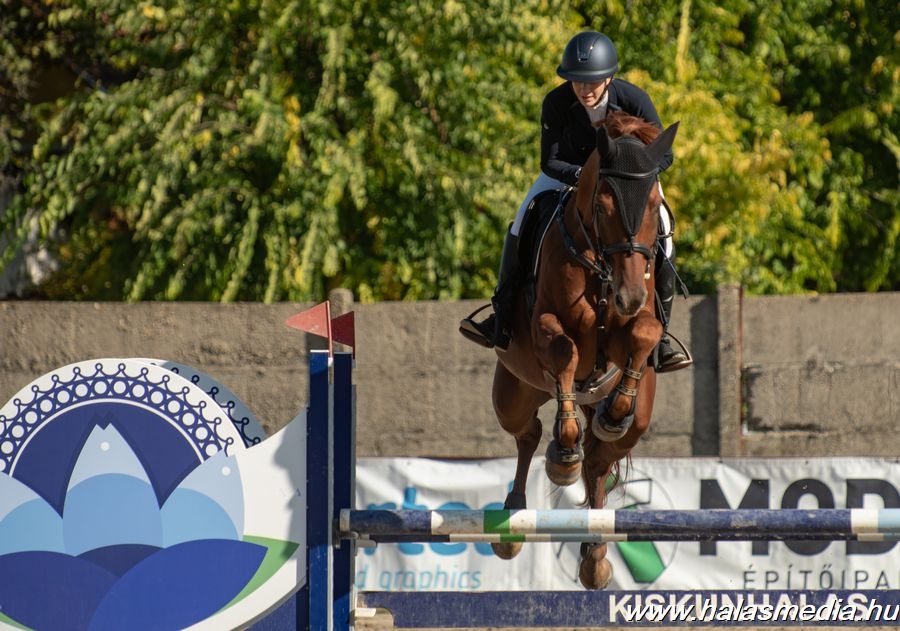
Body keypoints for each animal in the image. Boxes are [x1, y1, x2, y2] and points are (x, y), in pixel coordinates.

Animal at [489, 111, 678, 589]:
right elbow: (564, 353)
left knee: (597, 463)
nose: (629, 295)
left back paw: (595, 556)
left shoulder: (633, 327)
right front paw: (564, 450)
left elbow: (644, 334)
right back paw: (520, 510)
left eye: (654, 206)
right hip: (513, 392)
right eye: (604, 206)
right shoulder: (545, 325)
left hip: (639, 419)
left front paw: (614, 411)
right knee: (528, 433)